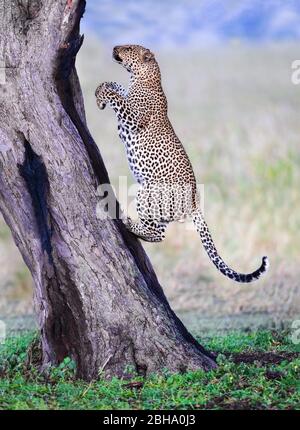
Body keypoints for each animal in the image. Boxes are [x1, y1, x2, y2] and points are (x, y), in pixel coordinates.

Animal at [95, 44, 268, 282]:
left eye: (128, 47)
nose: (114, 47)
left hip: (148, 192)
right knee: (159, 232)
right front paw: (102, 88)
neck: (143, 77)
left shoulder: (134, 118)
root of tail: (194, 204)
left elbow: (117, 97)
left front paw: (102, 95)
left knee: (157, 233)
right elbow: (117, 88)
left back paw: (129, 223)